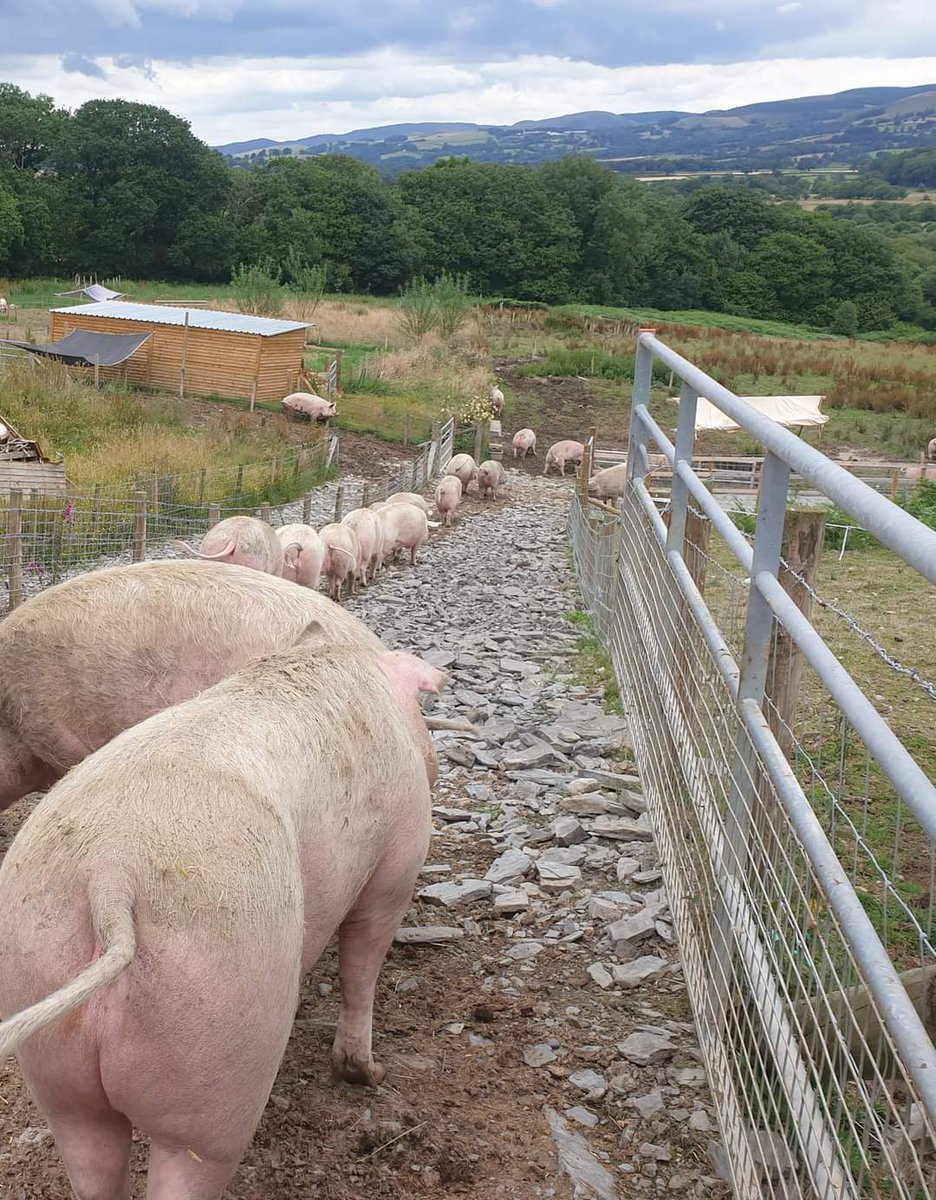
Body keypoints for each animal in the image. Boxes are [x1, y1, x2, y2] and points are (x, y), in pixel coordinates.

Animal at [0, 624, 446, 1200]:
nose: (434, 755)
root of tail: (111, 874)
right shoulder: (397, 859)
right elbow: (362, 964)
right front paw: (367, 1073)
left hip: (45, 1017)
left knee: (92, 1157)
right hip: (219, 1037)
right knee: (195, 1157)